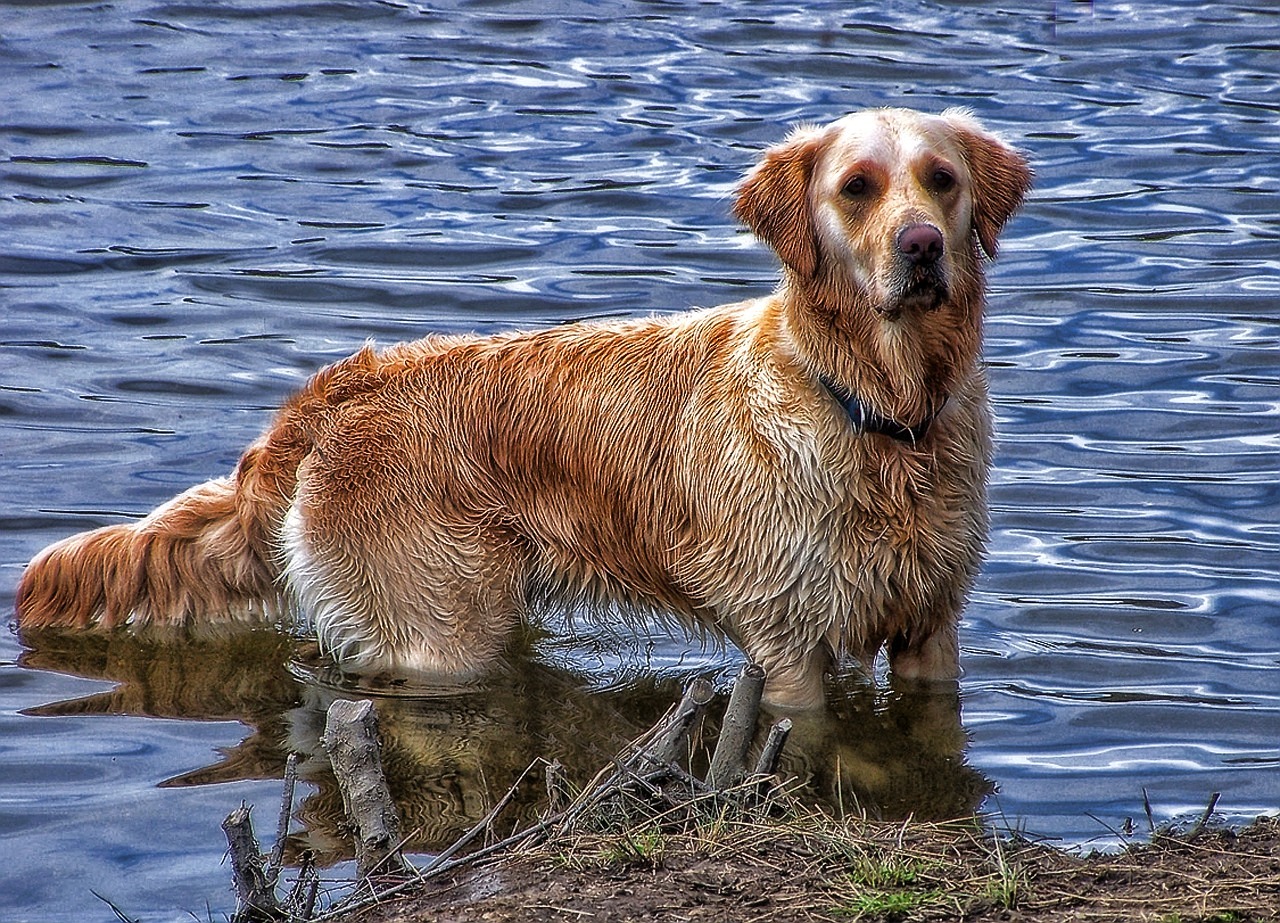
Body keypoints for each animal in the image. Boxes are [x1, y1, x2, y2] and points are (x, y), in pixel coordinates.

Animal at [15, 110, 1029, 711]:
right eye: (856, 187)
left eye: (941, 179)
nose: (922, 246)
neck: (879, 409)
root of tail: (341, 385)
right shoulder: (790, 643)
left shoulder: (933, 625)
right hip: (443, 631)